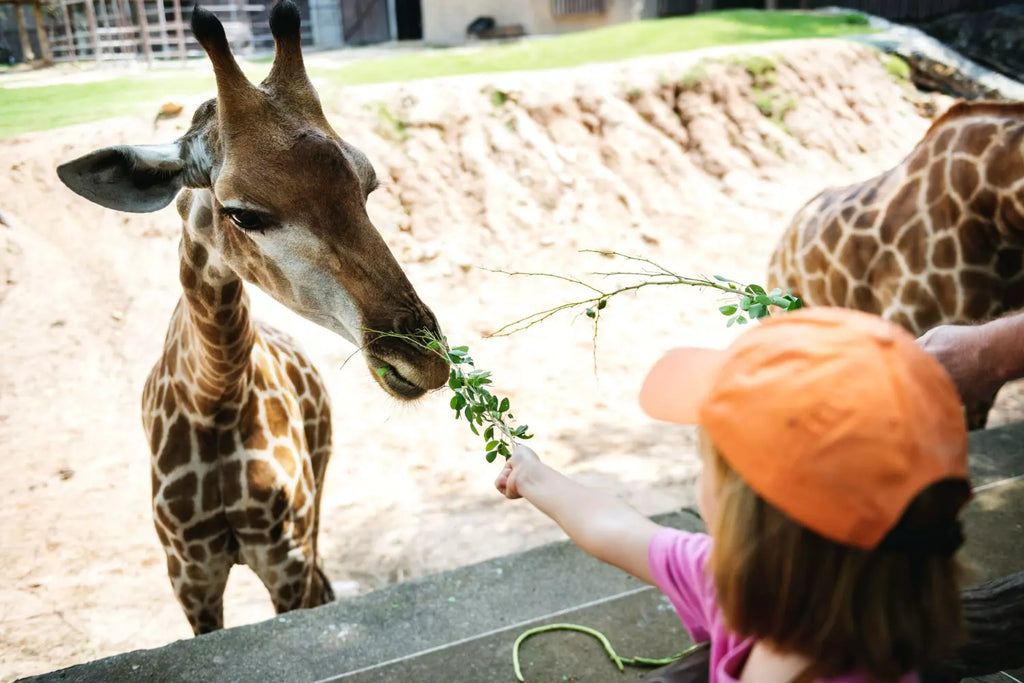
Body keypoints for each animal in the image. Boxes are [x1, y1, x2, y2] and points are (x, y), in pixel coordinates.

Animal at [50, 0, 444, 634]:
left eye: (368, 186)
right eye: (242, 213)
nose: (424, 360)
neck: (215, 396)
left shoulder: (284, 558)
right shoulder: (190, 575)